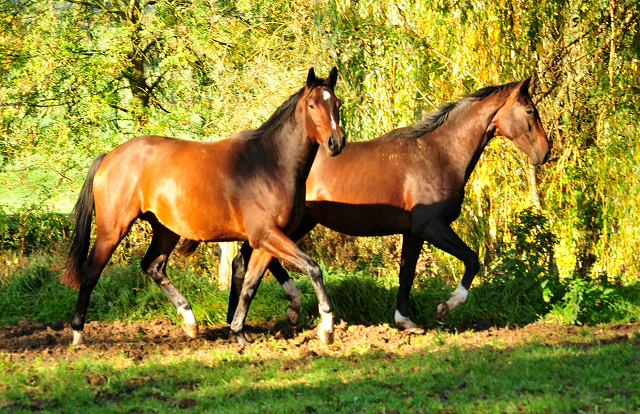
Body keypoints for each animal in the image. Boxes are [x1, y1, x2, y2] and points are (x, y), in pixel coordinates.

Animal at [60, 68, 348, 346]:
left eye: (337, 103)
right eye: (312, 104)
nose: (336, 143)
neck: (271, 164)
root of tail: (109, 156)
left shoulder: (266, 239)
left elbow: (251, 284)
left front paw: (240, 332)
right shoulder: (265, 235)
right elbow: (311, 268)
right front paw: (327, 327)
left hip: (166, 230)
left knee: (153, 266)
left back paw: (190, 321)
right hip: (113, 229)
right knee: (91, 272)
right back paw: (78, 334)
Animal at [224, 77, 552, 330]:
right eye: (530, 110)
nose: (545, 152)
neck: (439, 153)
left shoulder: (414, 232)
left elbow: (406, 275)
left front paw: (405, 320)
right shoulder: (432, 226)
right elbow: (472, 260)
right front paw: (443, 307)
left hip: (294, 223)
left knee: (248, 259)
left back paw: (237, 319)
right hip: (288, 224)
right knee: (257, 259)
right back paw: (283, 309)